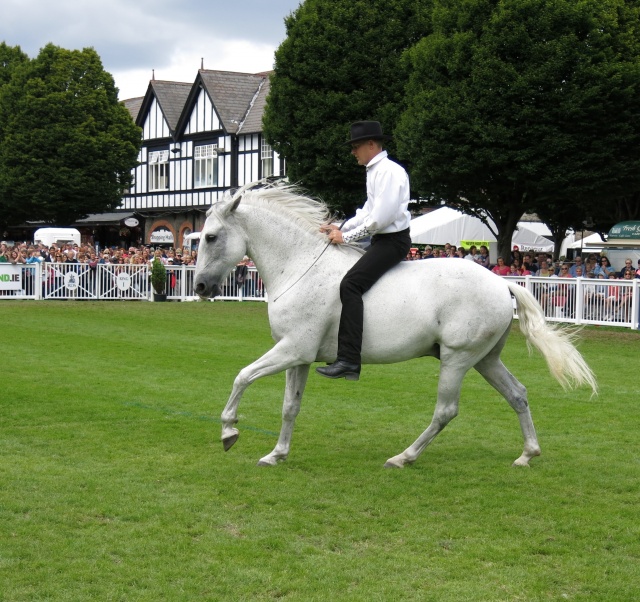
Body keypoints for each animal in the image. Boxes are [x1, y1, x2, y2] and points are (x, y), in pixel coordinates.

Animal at [194, 183, 597, 468]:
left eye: (211, 237)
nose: (199, 287)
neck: (300, 266)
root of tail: (501, 283)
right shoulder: (300, 357)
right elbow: (290, 406)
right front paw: (276, 454)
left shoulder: (291, 349)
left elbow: (242, 376)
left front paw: (229, 430)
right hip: (485, 360)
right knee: (518, 394)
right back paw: (527, 454)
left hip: (456, 360)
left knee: (445, 411)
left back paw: (404, 457)